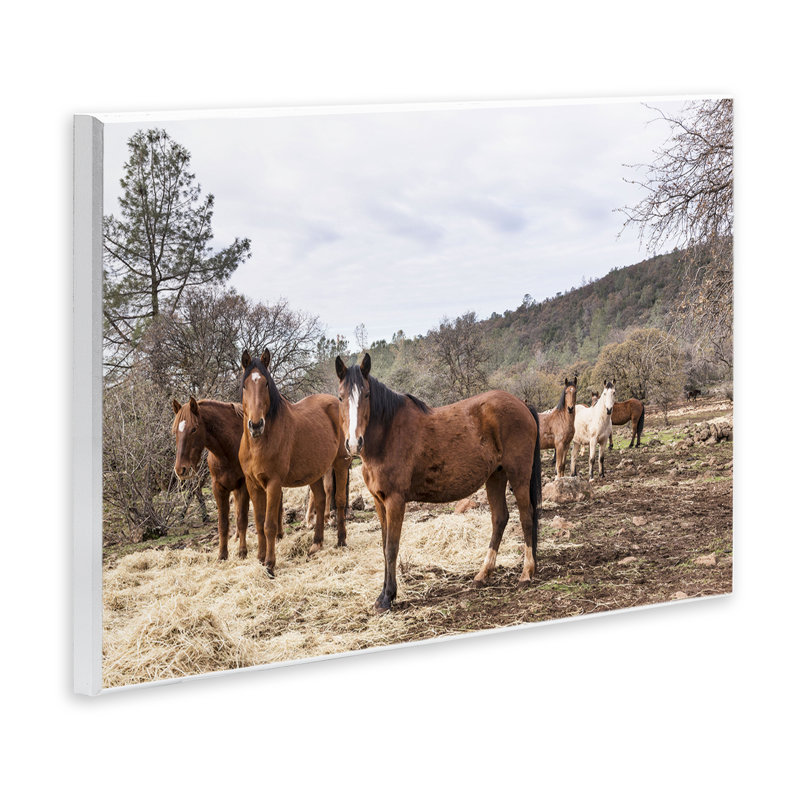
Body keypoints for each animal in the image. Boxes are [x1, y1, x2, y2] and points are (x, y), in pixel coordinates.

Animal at [239, 349, 350, 575]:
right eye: (245, 385)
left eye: (265, 383)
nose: (256, 425)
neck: (260, 442)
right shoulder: (253, 484)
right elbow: (259, 522)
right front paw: (260, 558)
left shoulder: (273, 484)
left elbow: (270, 525)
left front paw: (270, 564)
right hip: (315, 471)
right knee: (320, 500)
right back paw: (316, 544)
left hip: (340, 463)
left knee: (340, 500)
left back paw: (341, 541)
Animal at [335, 353, 542, 614]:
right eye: (340, 396)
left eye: (366, 395)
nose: (354, 443)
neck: (388, 435)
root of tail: (522, 404)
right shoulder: (379, 501)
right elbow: (384, 547)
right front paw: (384, 595)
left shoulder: (395, 501)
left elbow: (391, 548)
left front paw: (387, 598)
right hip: (495, 476)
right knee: (500, 518)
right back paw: (483, 574)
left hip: (519, 475)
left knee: (526, 516)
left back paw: (526, 572)